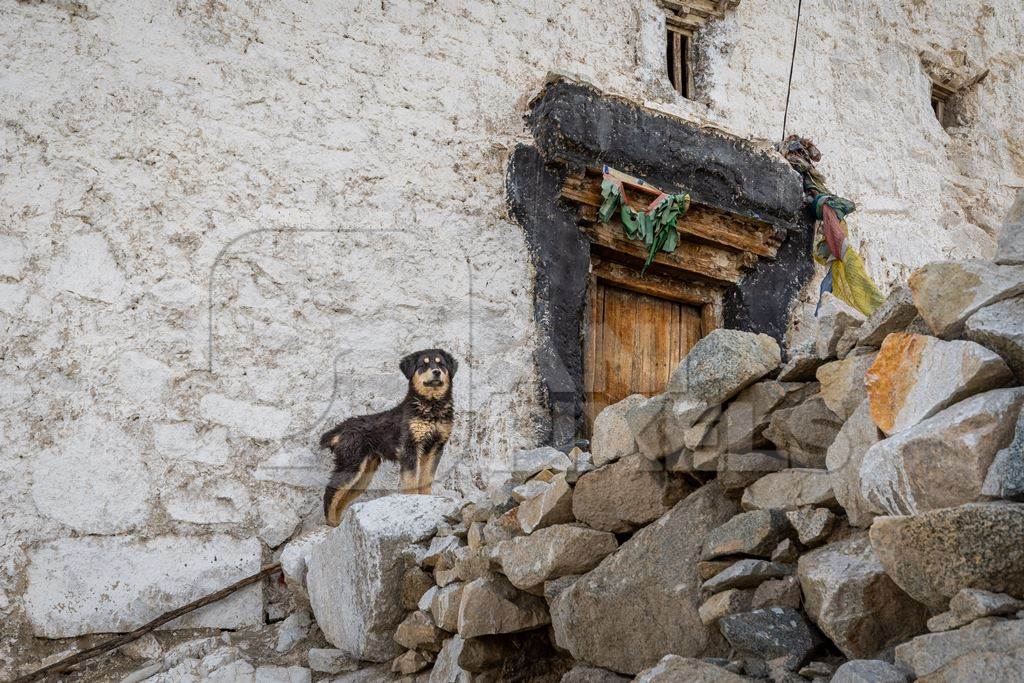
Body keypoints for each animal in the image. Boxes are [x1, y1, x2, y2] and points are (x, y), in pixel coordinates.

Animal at [319, 350, 456, 528]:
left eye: (441, 364)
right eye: (423, 365)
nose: (436, 372)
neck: (431, 406)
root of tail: (341, 428)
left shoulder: (435, 448)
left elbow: (426, 478)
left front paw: (426, 500)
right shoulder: (409, 447)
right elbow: (411, 480)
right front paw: (412, 501)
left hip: (364, 472)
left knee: (343, 497)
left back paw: (338, 522)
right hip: (351, 463)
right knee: (332, 490)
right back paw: (331, 522)